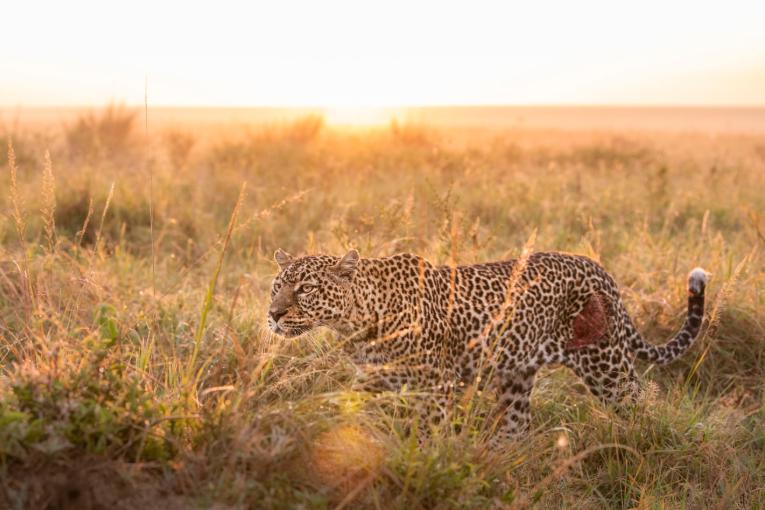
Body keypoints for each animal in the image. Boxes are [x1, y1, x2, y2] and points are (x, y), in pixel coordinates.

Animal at [268, 248, 704, 442]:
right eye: (277, 286)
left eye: (305, 289)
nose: (273, 314)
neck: (357, 320)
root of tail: (600, 269)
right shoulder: (374, 380)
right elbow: (354, 415)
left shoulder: (437, 385)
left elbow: (429, 435)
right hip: (516, 374)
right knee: (518, 424)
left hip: (607, 365)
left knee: (640, 403)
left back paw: (645, 447)